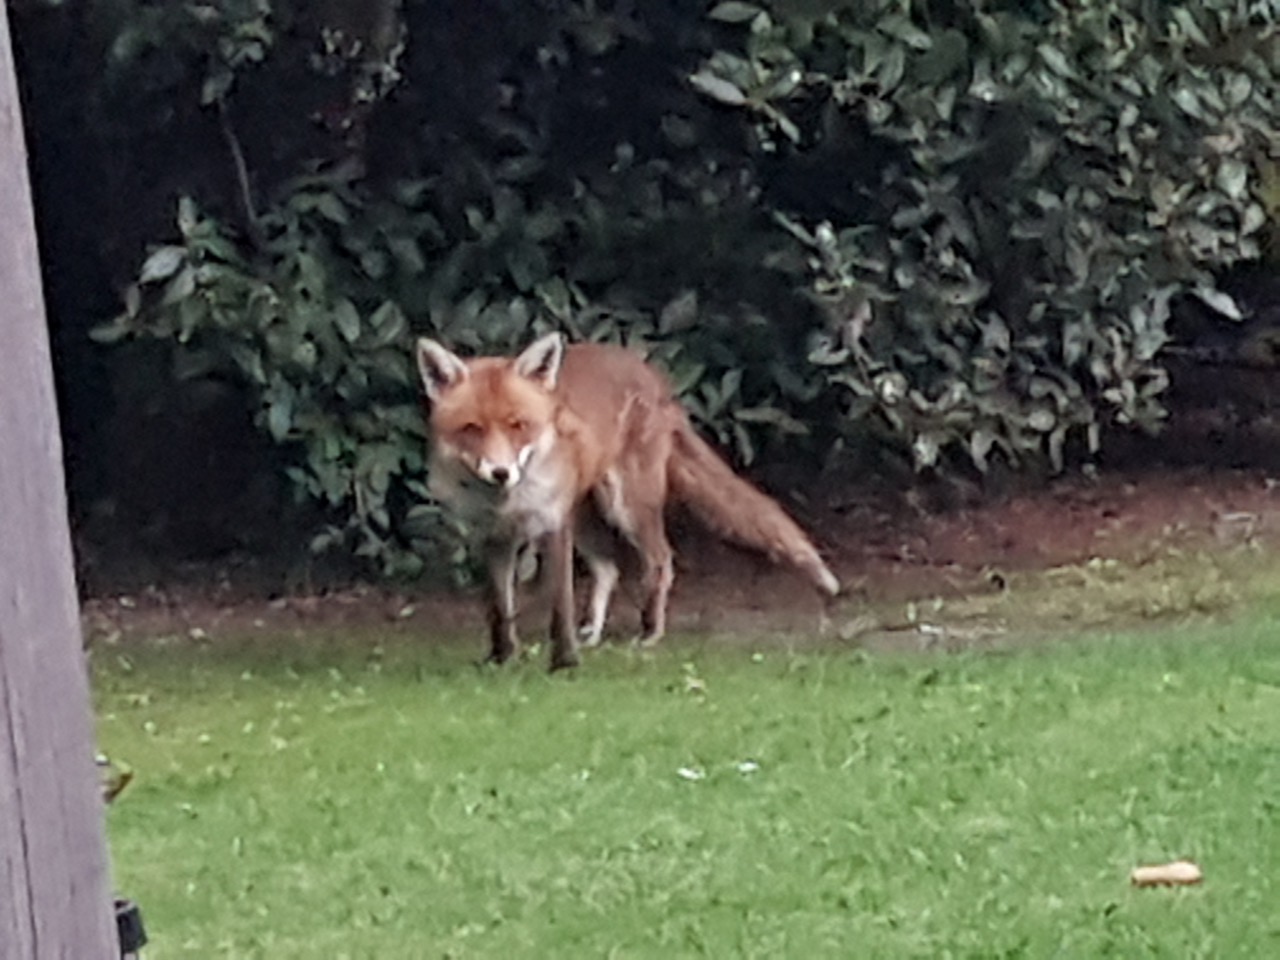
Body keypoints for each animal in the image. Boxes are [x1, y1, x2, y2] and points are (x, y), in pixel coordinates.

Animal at [415, 332, 841, 670]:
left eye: (518, 425)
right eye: (472, 428)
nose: (501, 472)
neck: (505, 503)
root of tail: (651, 374)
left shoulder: (552, 526)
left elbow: (559, 604)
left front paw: (564, 663)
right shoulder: (492, 537)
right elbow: (500, 609)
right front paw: (501, 659)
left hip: (626, 506)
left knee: (660, 559)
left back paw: (650, 632)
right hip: (586, 516)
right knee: (609, 568)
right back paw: (593, 632)